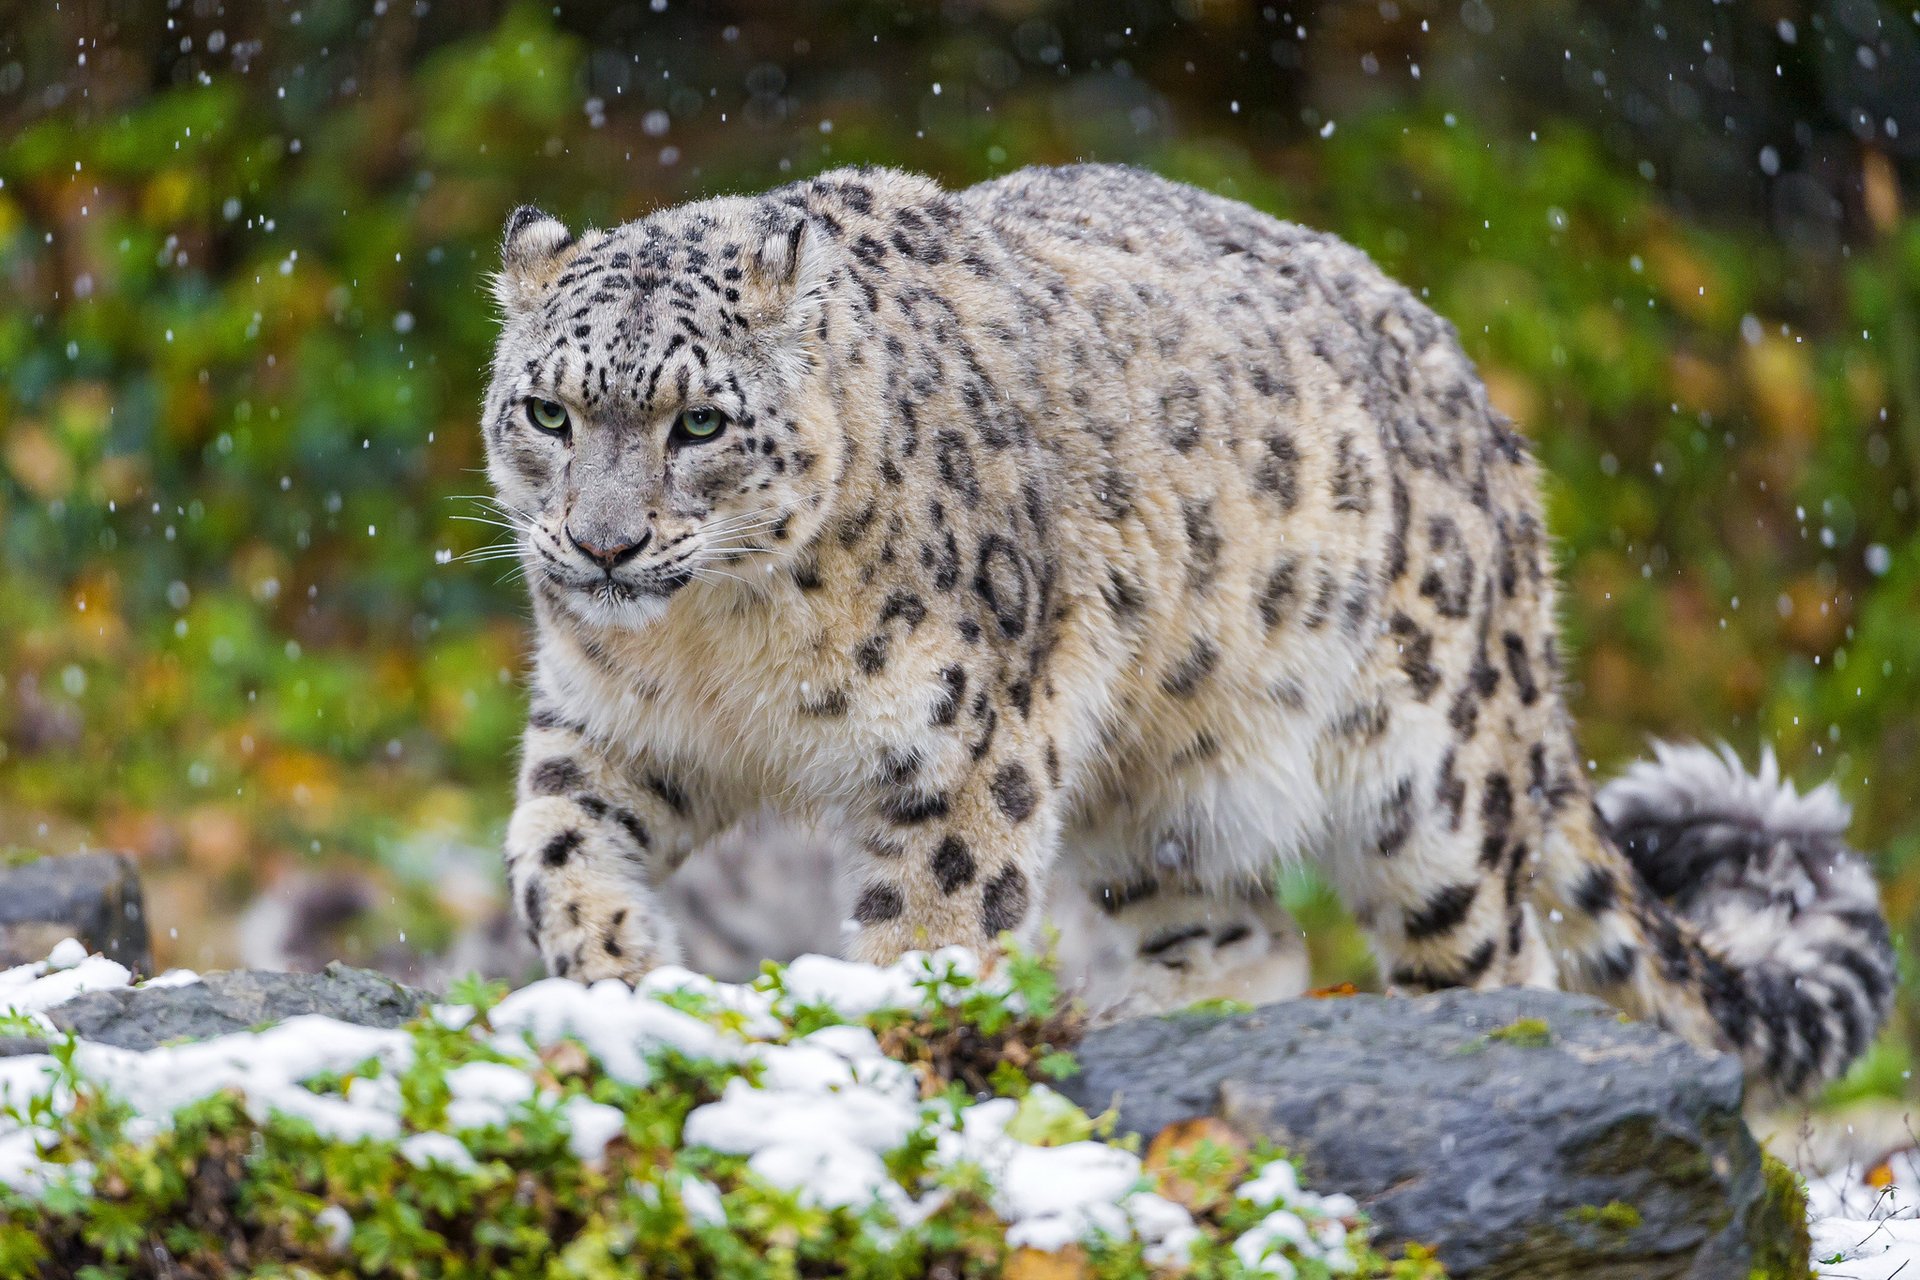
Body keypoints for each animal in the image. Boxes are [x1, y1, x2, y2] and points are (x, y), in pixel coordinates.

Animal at [479, 162, 1894, 1098]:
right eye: (547, 411)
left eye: (699, 422)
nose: (601, 544)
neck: (719, 647)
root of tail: (1496, 435)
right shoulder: (607, 729)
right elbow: (550, 851)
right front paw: (622, 971)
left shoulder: (958, 754)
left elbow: (928, 929)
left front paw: (886, 1047)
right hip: (1160, 786)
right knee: (1251, 935)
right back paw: (1133, 1016)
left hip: (1434, 788)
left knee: (1508, 950)